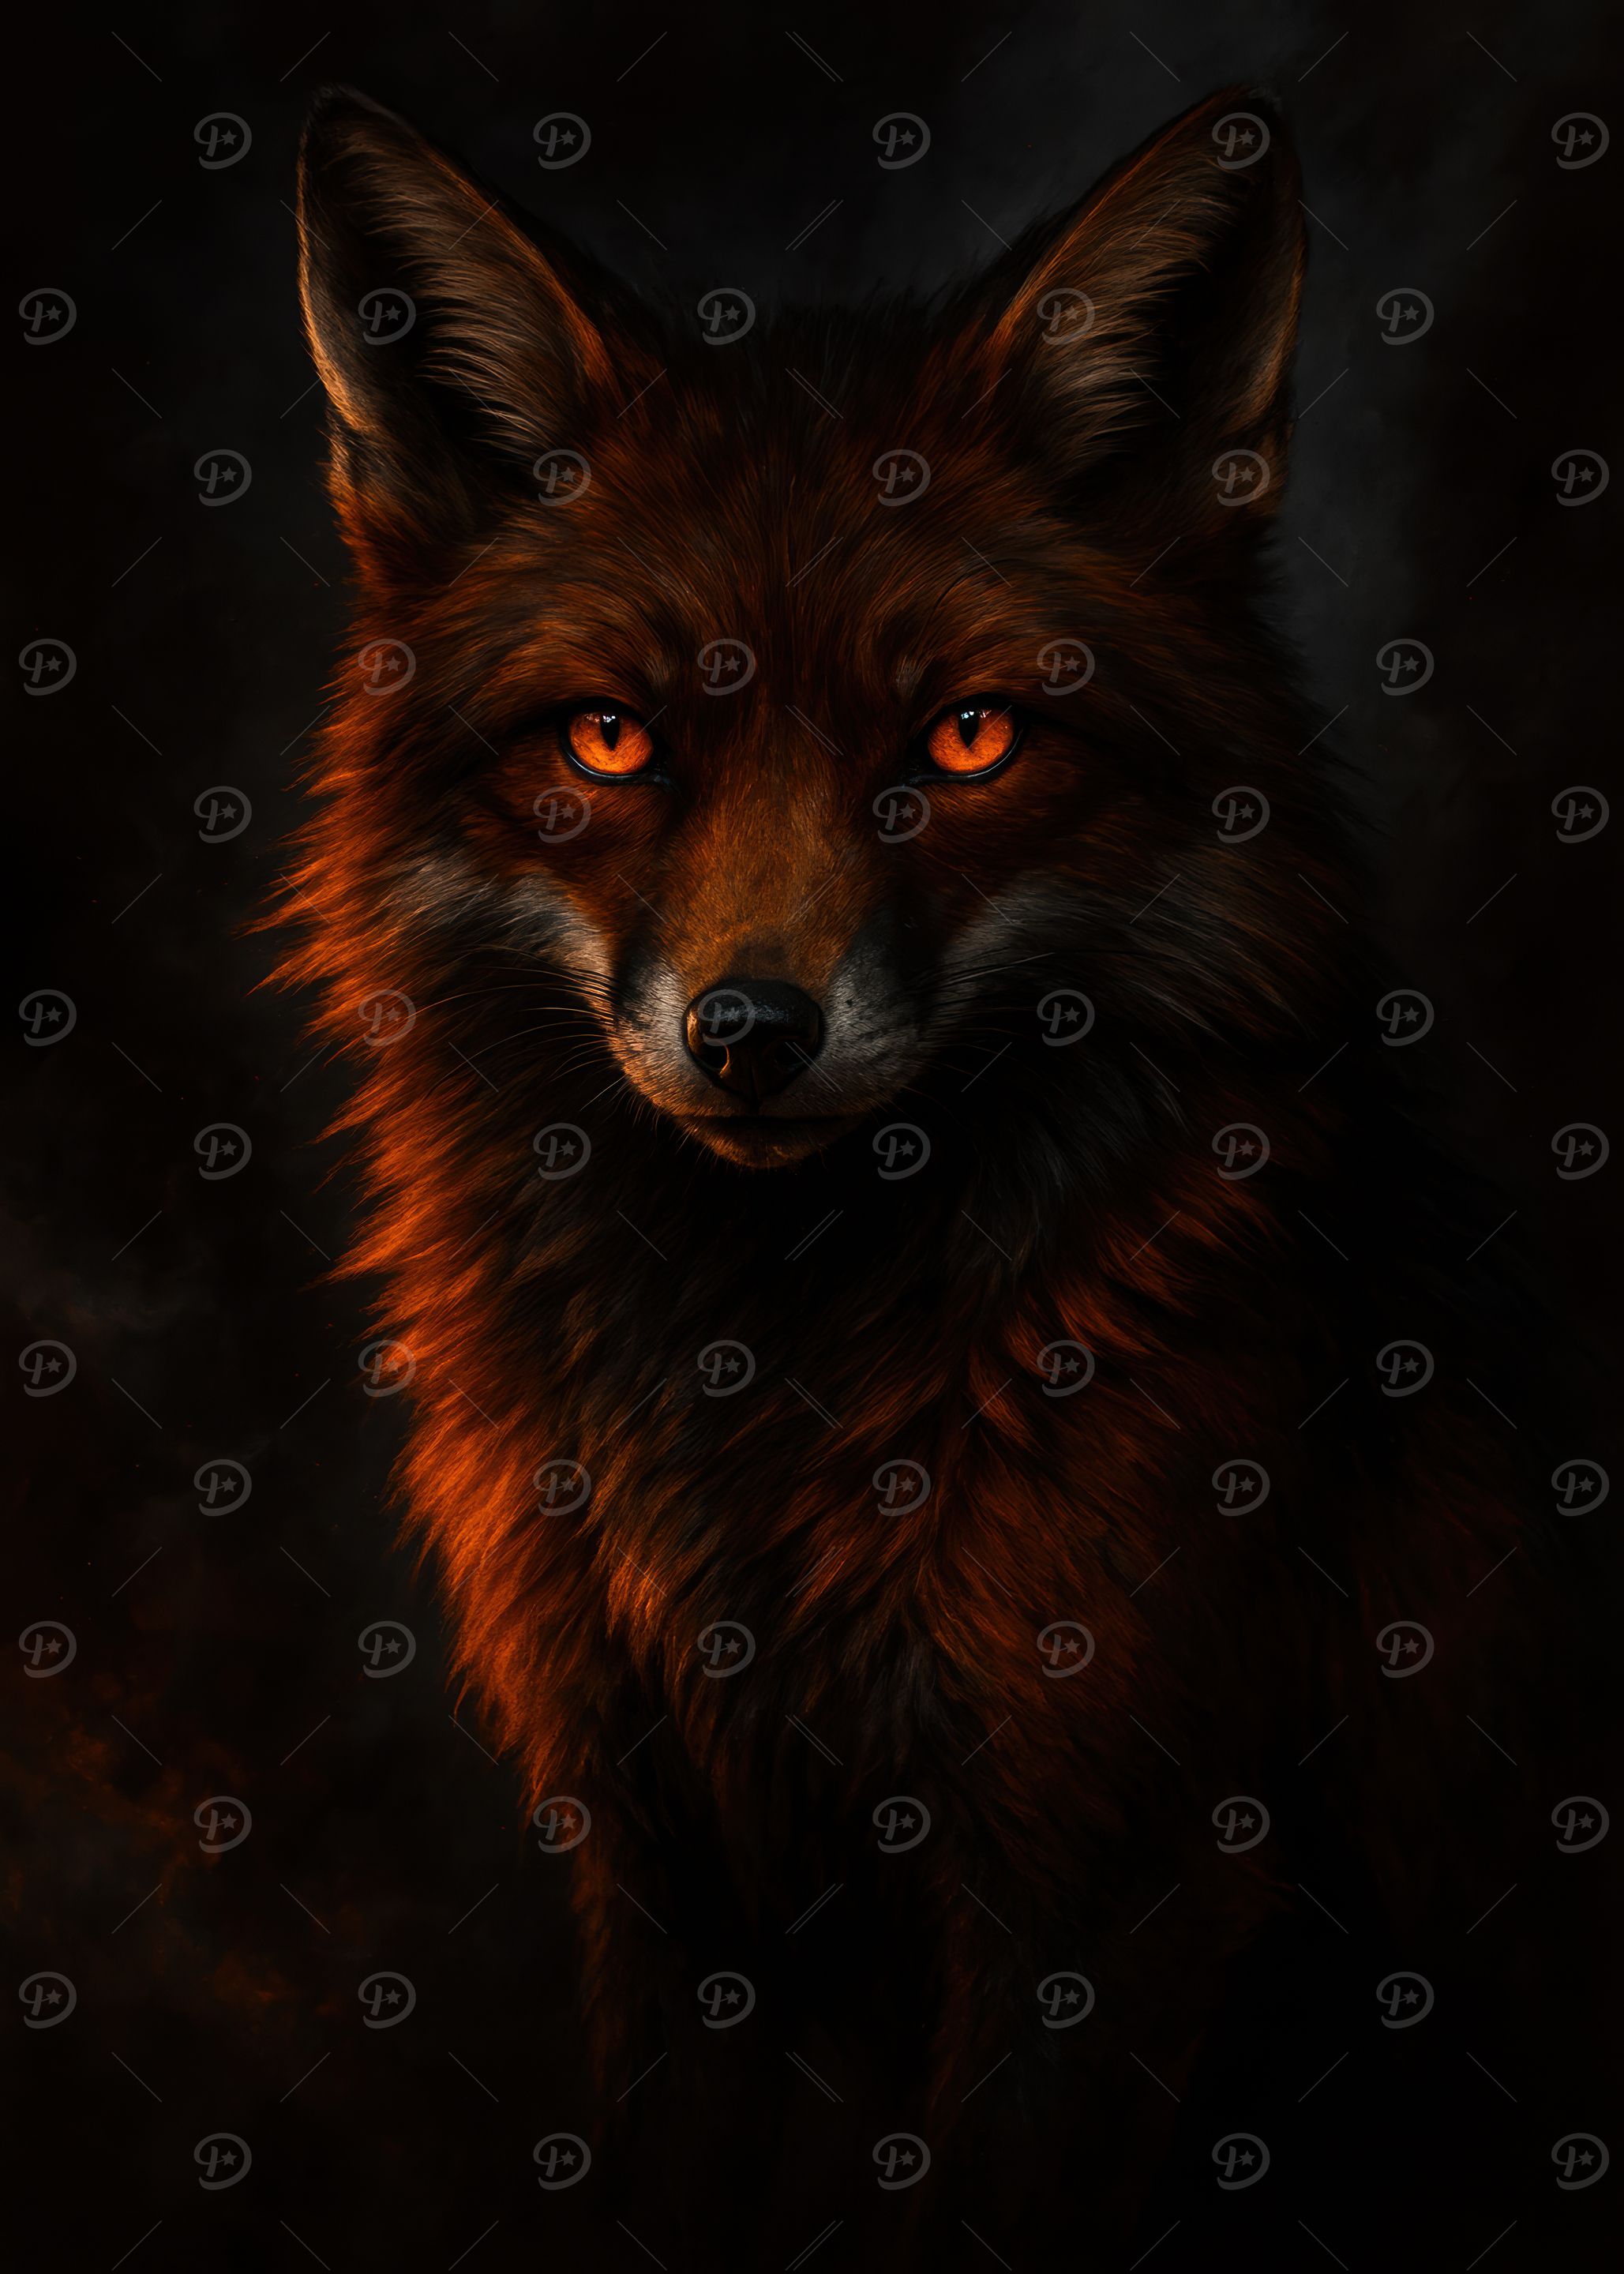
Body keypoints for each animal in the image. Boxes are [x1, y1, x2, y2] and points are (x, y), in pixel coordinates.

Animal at [287, 83, 1607, 2265]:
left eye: (968, 738)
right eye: (611, 741)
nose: (748, 1031)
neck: (764, 1371)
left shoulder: (1112, 1886)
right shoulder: (674, 1888)